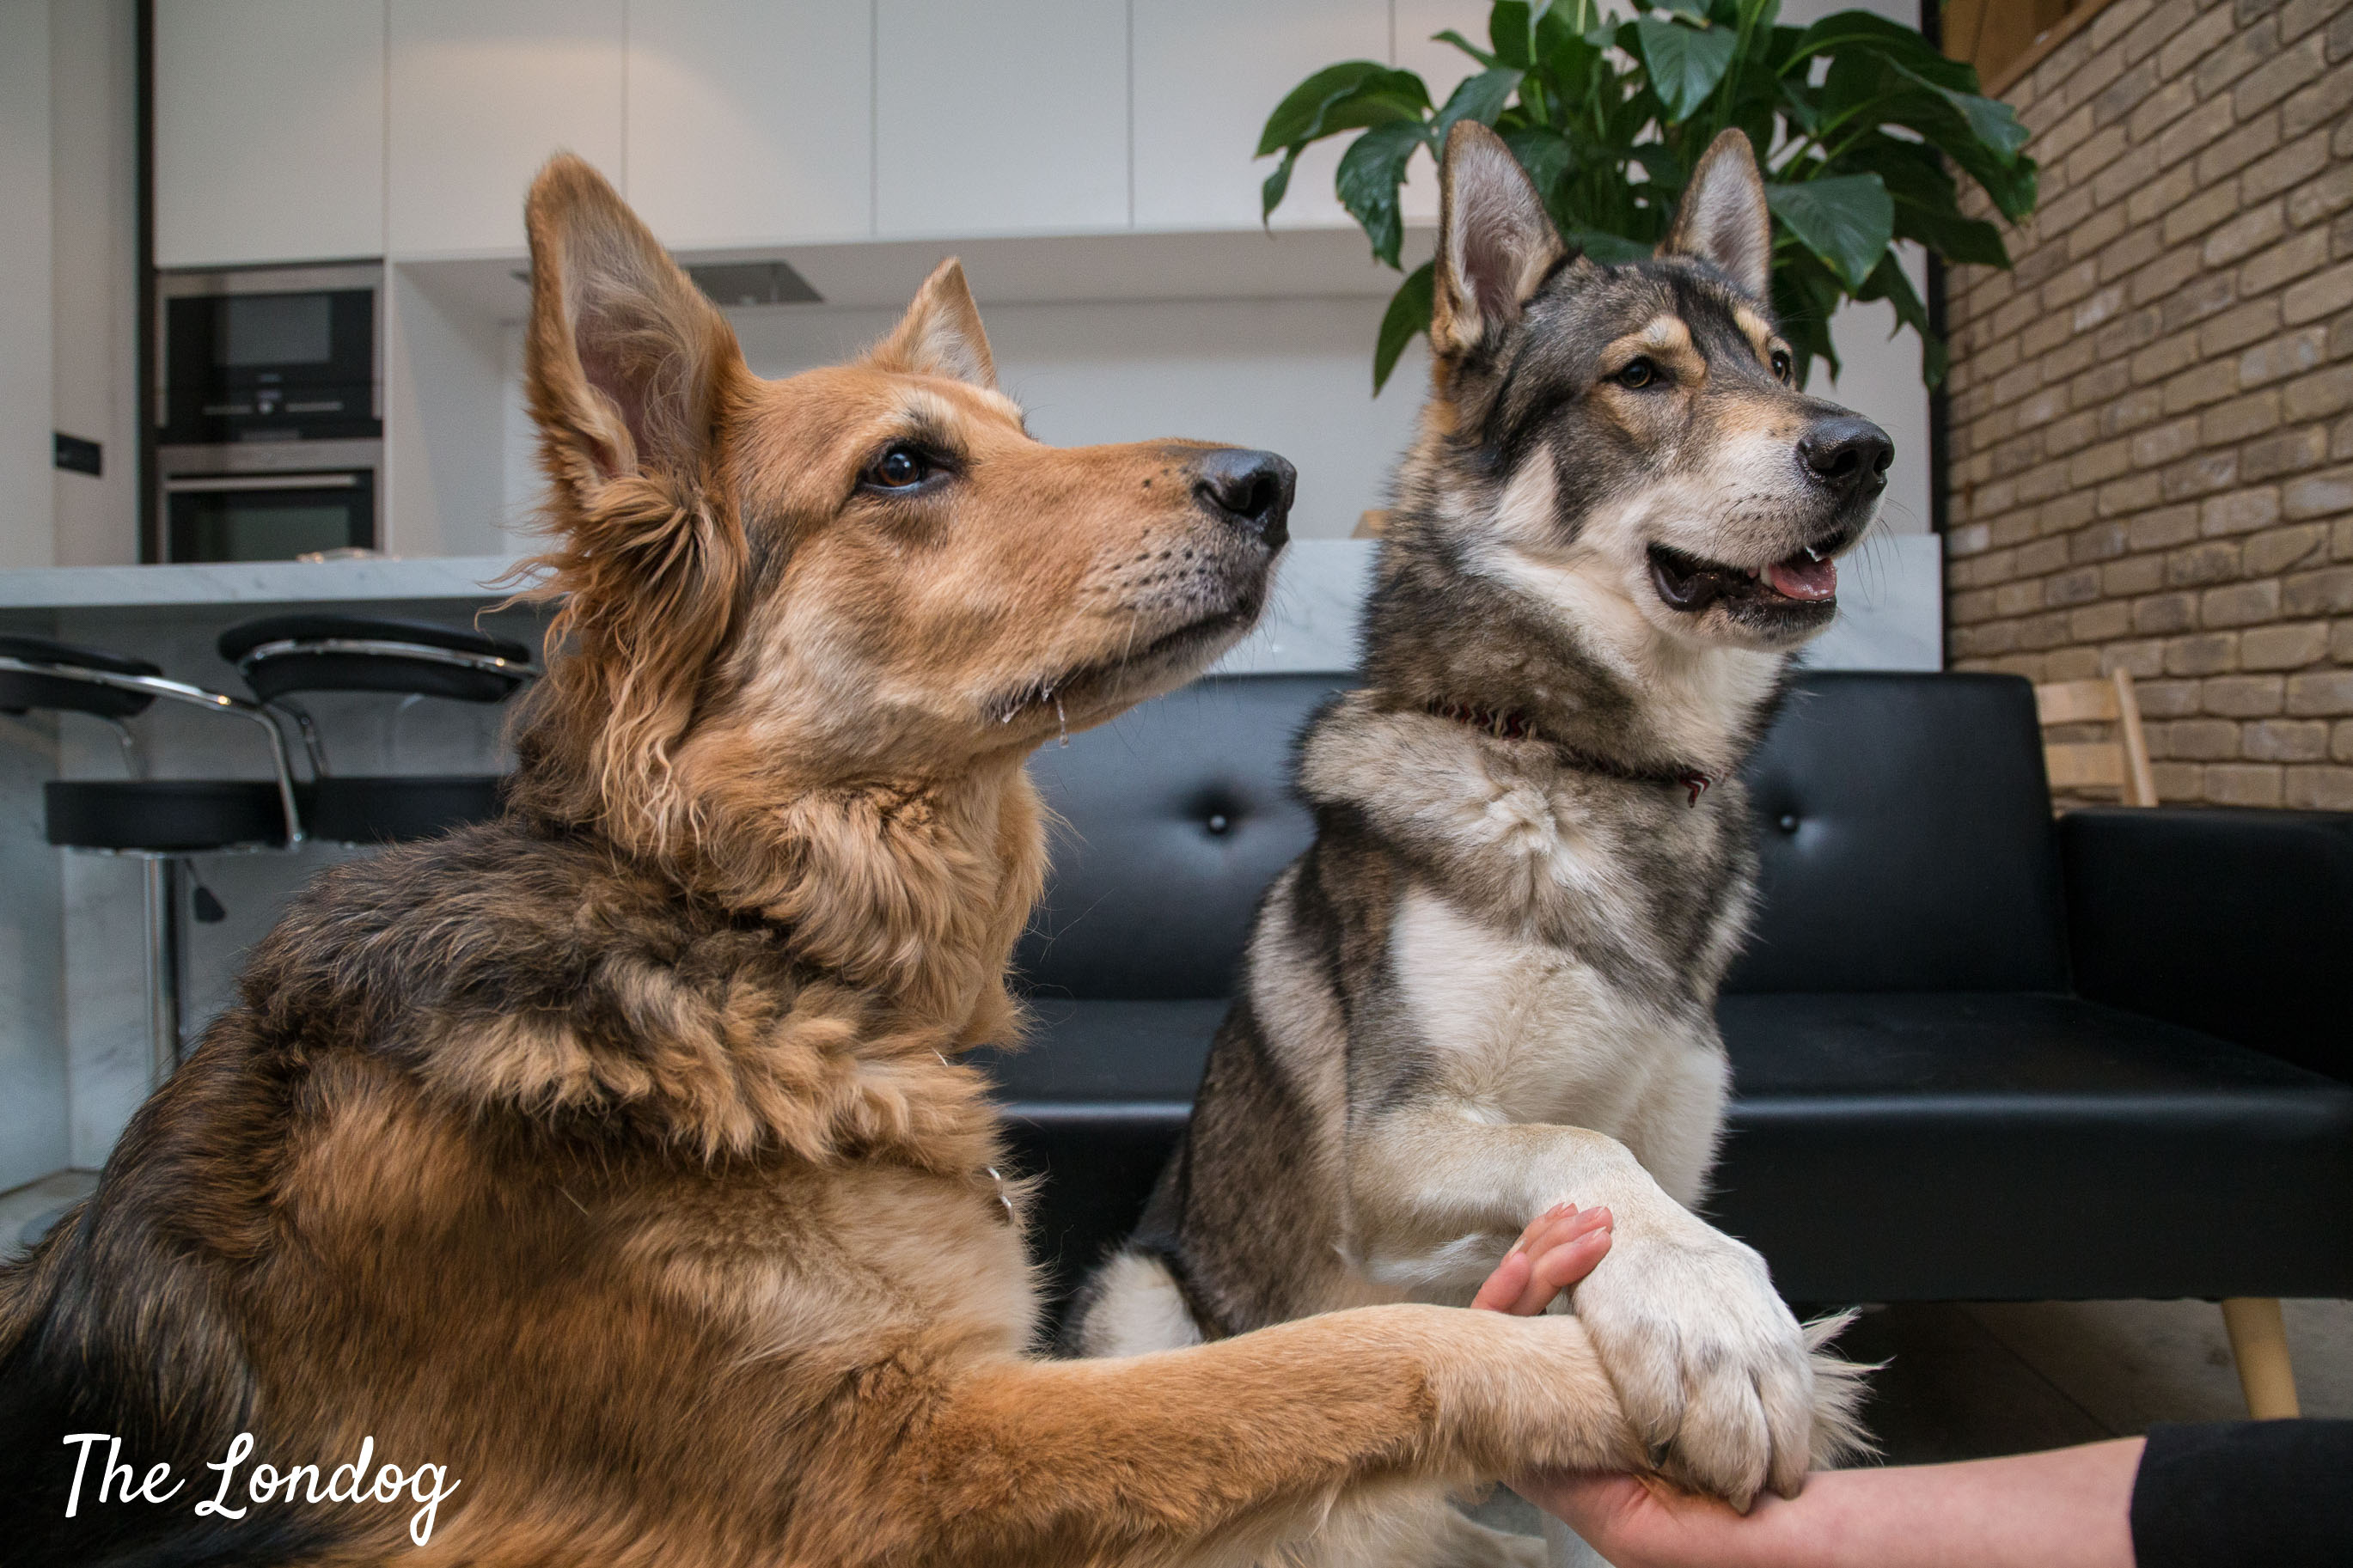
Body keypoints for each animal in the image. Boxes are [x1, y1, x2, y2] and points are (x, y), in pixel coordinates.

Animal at [0, 160, 1665, 1568]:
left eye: (1025, 430)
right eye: (906, 465)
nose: (1273, 481)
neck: (746, 927)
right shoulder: (893, 1465)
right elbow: (1332, 1357)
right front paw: (1654, 1351)